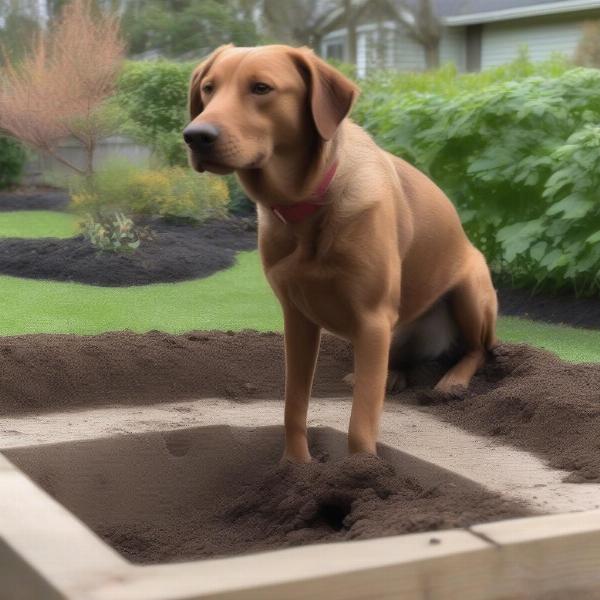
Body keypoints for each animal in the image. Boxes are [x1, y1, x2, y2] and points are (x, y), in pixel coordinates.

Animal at [184, 44, 496, 462]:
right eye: (208, 89)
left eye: (261, 88)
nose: (195, 136)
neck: (307, 203)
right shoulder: (297, 317)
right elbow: (294, 405)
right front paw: (295, 465)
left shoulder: (372, 317)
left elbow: (361, 422)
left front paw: (361, 469)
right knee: (390, 364)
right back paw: (394, 374)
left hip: (470, 291)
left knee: (478, 350)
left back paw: (453, 381)